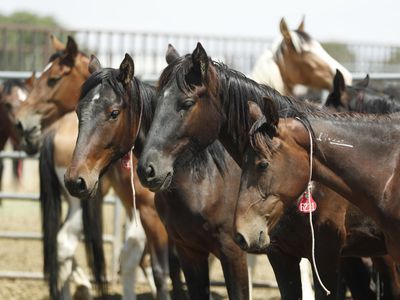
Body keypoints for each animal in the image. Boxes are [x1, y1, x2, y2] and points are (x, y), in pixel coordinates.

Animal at [64, 54, 252, 300]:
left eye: (114, 113)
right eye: (78, 112)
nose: (75, 180)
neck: (205, 180)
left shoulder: (233, 254)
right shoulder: (188, 251)